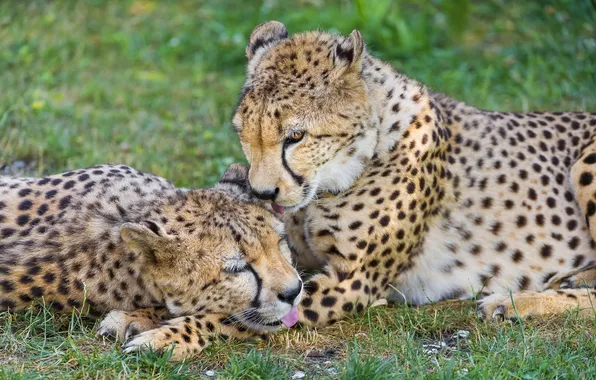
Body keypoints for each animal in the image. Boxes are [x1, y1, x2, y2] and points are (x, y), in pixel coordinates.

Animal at [232, 22, 596, 328]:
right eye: (243, 134)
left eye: (295, 136)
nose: (263, 193)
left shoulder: (350, 282)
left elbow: (233, 315)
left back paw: (514, 302)